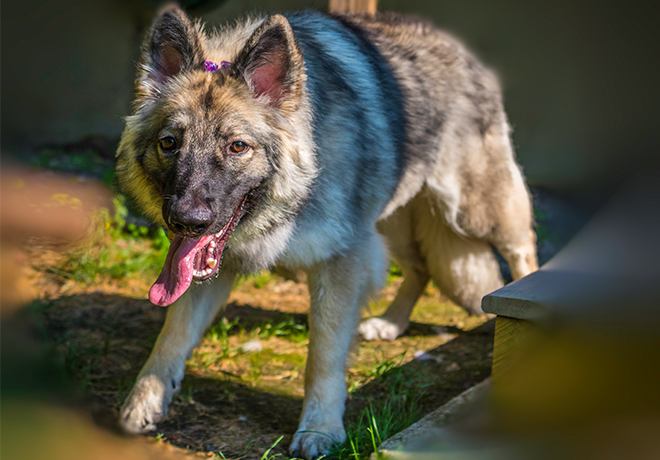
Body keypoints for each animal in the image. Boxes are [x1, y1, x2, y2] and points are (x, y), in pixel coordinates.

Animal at [114, 5, 536, 458]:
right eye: (170, 143)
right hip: (389, 223)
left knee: (522, 253)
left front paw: (320, 427)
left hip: (475, 210)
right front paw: (144, 401)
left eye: (237, 147)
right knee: (420, 268)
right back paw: (391, 322)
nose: (186, 220)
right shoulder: (213, 267)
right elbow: (172, 335)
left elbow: (324, 354)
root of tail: (456, 46)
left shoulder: (341, 260)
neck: (296, 192)